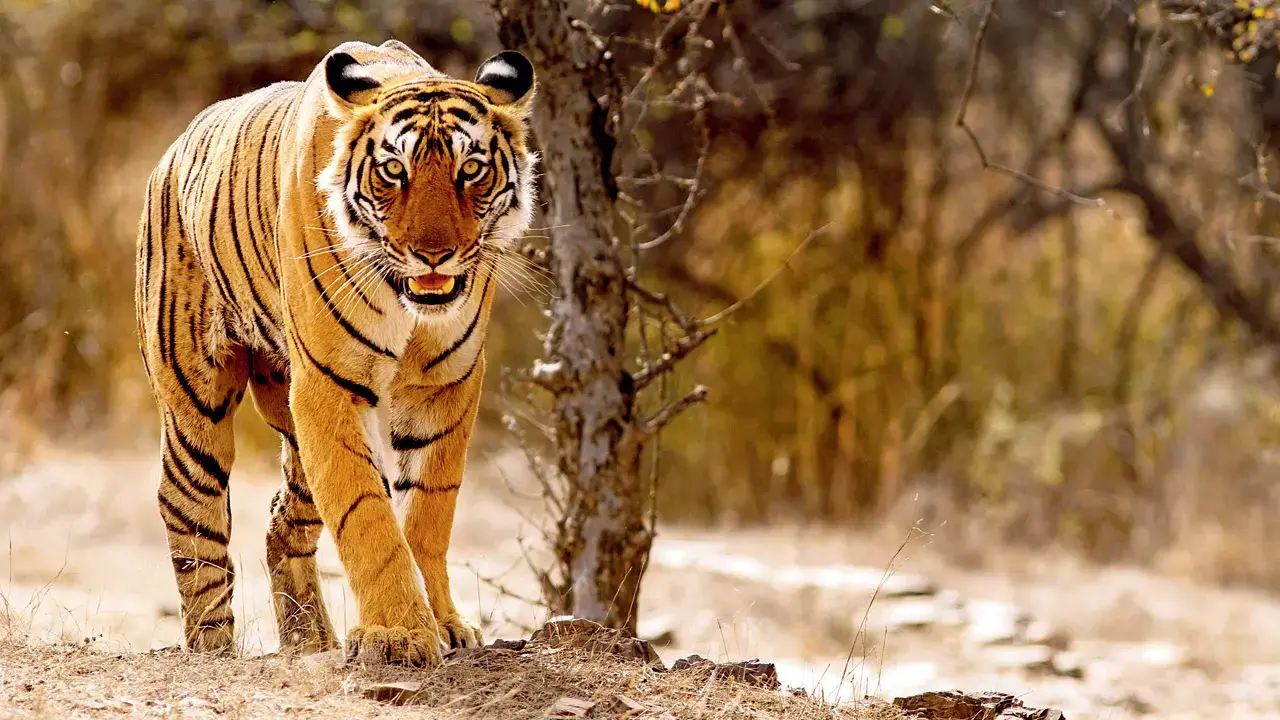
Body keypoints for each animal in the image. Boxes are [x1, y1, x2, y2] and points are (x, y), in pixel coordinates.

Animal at [133, 39, 538, 668]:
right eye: (394, 171)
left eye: (470, 169)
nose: (433, 255)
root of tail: (173, 150)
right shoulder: (329, 386)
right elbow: (366, 513)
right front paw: (398, 635)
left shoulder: (446, 385)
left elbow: (427, 513)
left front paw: (443, 624)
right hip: (195, 402)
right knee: (189, 510)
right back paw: (213, 648)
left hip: (292, 432)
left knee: (283, 521)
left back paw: (308, 640)